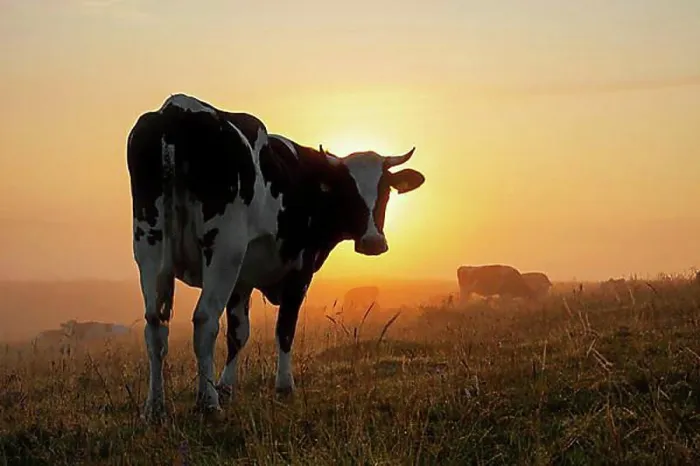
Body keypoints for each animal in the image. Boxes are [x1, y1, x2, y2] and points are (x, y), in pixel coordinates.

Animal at [127, 93, 425, 420]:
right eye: (349, 190)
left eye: (385, 191)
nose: (373, 241)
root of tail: (178, 109)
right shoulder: (299, 269)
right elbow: (284, 329)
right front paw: (283, 386)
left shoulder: (242, 280)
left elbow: (238, 334)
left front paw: (226, 387)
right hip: (223, 249)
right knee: (204, 320)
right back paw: (207, 403)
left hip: (149, 242)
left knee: (155, 324)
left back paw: (155, 406)